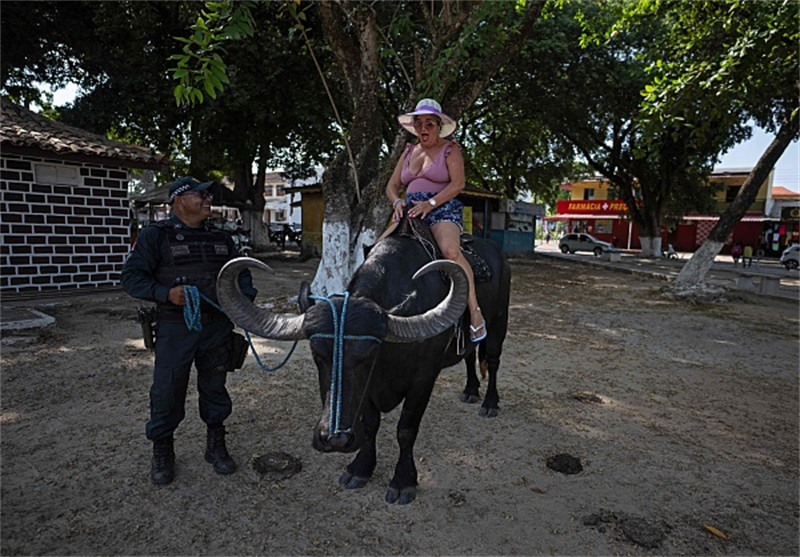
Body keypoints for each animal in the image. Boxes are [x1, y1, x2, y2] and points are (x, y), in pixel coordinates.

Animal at [216, 232, 510, 502]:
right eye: (317, 353)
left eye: (368, 354)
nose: (334, 438)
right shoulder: (368, 389)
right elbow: (370, 424)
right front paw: (360, 468)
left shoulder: (423, 380)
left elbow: (406, 430)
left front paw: (403, 480)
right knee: (469, 356)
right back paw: (470, 391)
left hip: (499, 322)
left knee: (493, 361)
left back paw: (489, 404)